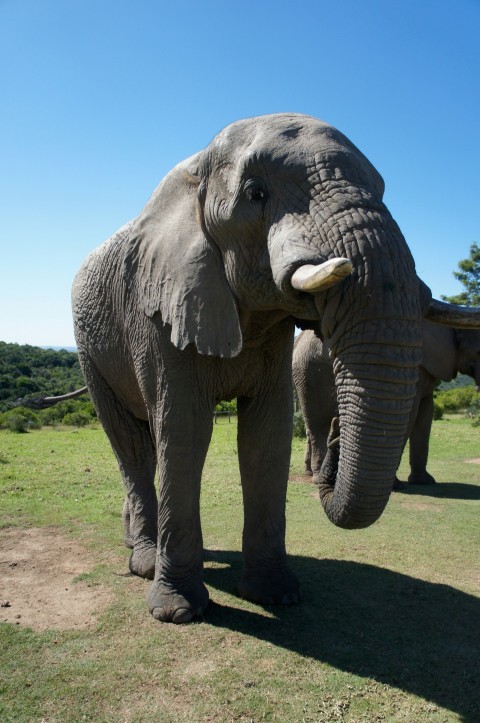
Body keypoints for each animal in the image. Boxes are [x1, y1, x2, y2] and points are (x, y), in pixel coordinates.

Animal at [292, 323, 480, 485]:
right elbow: (408, 414)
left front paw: (425, 481)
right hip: (310, 371)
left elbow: (425, 414)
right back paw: (318, 478)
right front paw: (395, 485)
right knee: (318, 424)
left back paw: (311, 472)